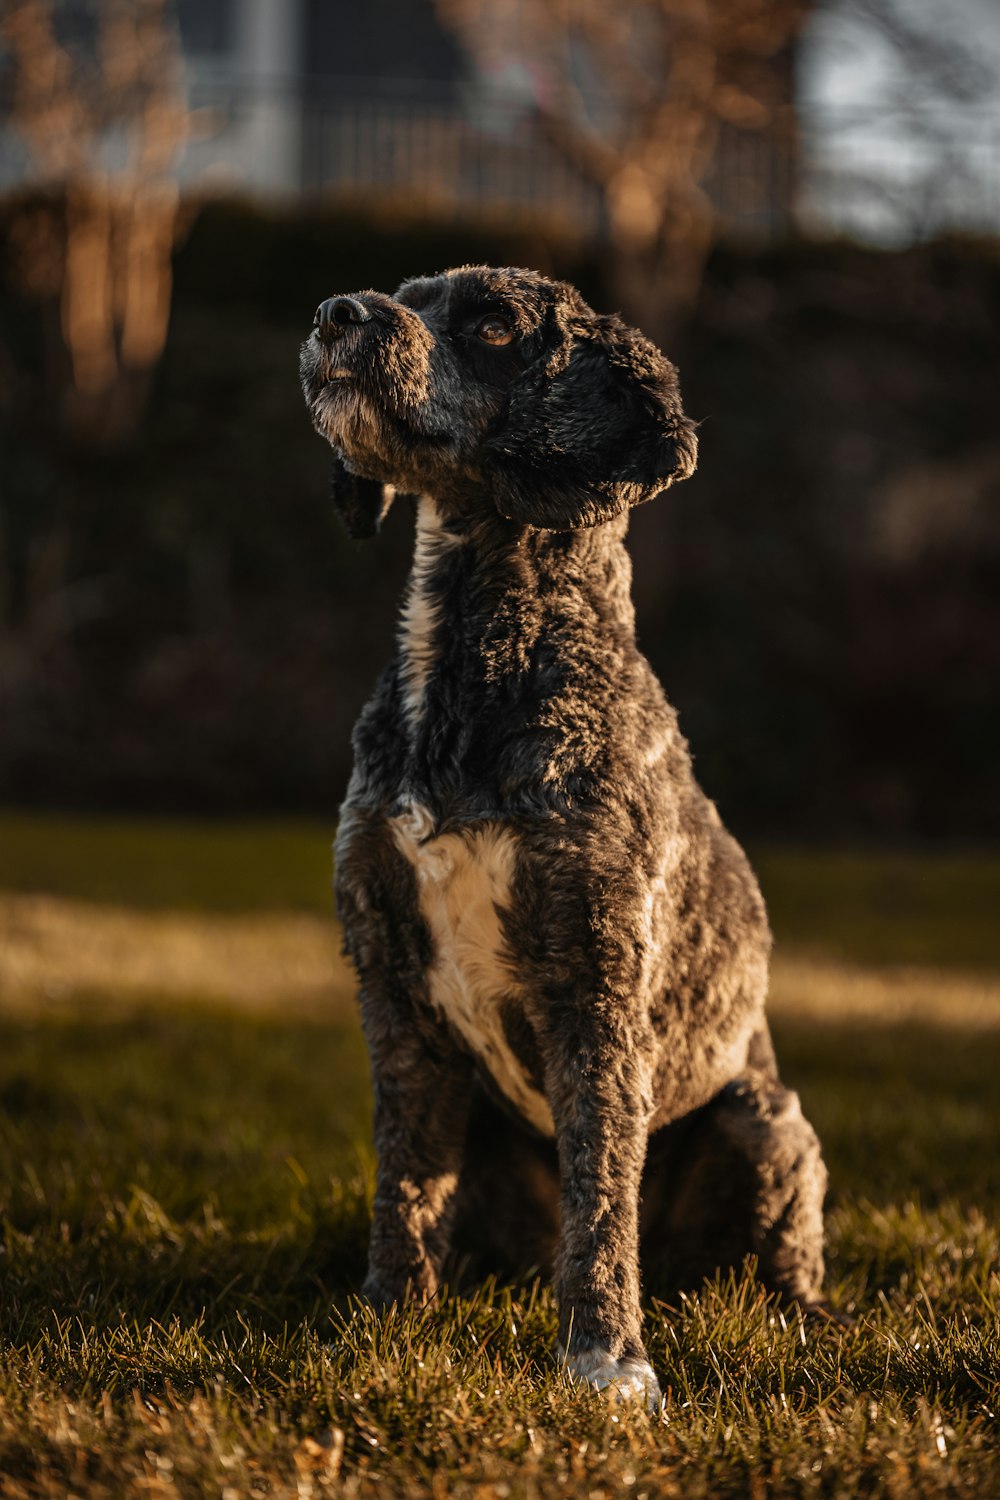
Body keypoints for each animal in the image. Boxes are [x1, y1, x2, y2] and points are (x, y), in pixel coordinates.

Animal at [299, 267, 827, 1404]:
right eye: (406, 293)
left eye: (494, 323)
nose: (335, 312)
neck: (469, 664)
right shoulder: (389, 982)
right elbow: (405, 1178)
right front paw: (387, 1320)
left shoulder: (595, 975)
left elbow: (599, 1193)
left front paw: (606, 1360)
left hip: (764, 1124)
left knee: (761, 1259)